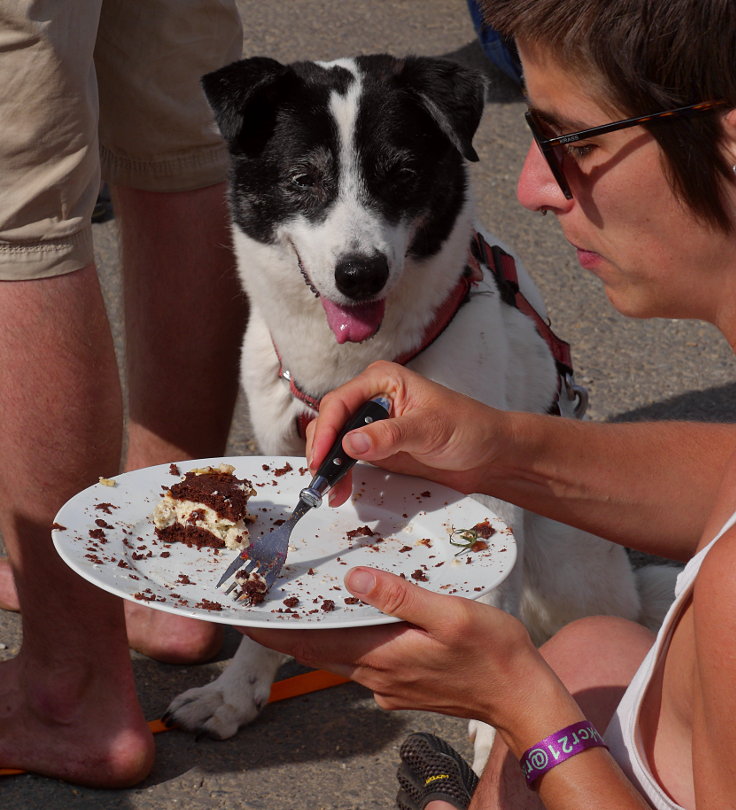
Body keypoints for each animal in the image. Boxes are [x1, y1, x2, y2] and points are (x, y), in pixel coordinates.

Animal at [167, 53, 680, 768]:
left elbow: (495, 601)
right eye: (302, 179)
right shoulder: (290, 451)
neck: (353, 366)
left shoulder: (484, 485)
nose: (360, 275)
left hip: (567, 562)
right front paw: (236, 688)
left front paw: (498, 722)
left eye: (402, 173)